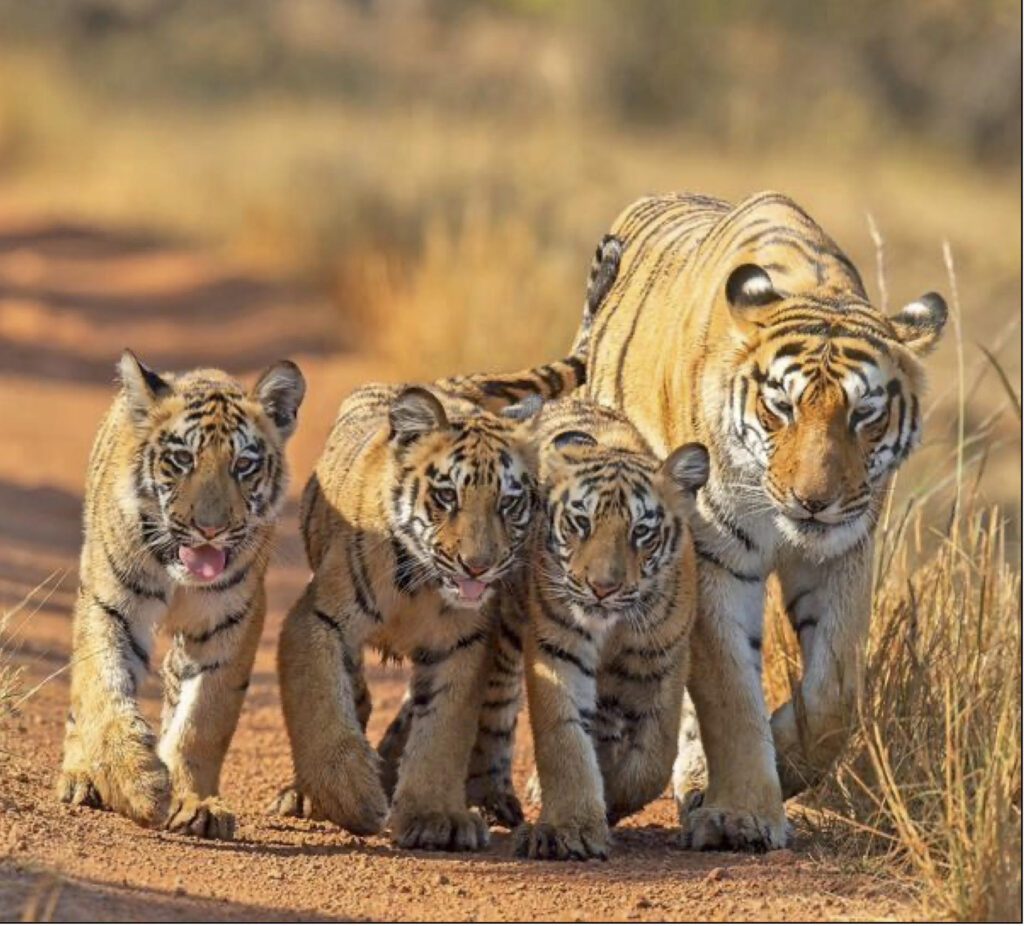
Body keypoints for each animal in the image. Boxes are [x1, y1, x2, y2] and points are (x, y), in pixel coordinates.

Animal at [581, 191, 946, 848]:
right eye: (782, 406)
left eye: (864, 414)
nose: (813, 501)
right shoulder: (714, 557)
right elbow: (729, 692)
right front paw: (743, 815)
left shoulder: (843, 552)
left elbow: (834, 694)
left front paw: (781, 765)